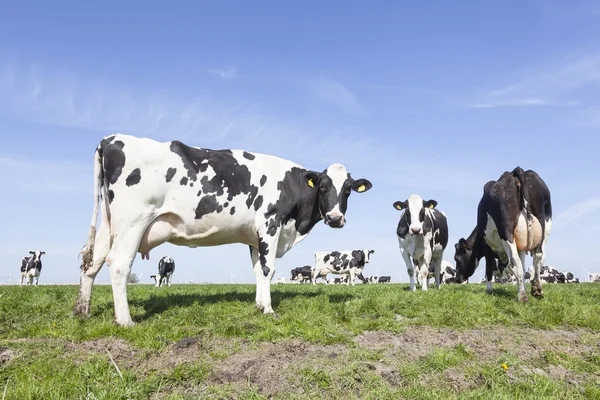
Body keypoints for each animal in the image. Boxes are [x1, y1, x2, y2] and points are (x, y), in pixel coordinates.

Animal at [74, 133, 370, 326]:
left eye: (347, 190)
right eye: (323, 187)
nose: (335, 218)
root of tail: (111, 138)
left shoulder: (254, 236)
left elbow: (257, 270)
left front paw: (259, 304)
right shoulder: (269, 224)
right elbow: (268, 269)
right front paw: (269, 310)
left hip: (109, 224)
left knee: (92, 263)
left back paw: (82, 311)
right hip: (133, 221)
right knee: (118, 264)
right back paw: (125, 320)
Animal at [454, 167, 552, 302]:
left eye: (457, 258)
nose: (456, 279)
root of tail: (515, 171)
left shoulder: (487, 246)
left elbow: (490, 267)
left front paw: (489, 289)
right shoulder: (520, 247)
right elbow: (521, 266)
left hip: (506, 229)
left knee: (514, 261)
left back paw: (522, 295)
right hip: (544, 226)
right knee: (538, 256)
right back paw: (537, 289)